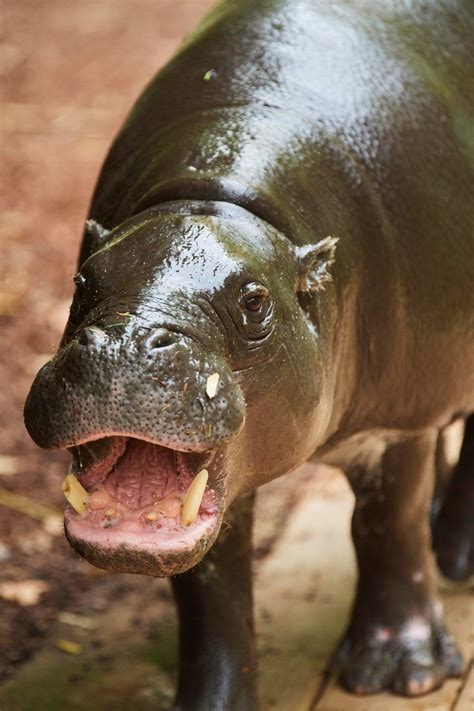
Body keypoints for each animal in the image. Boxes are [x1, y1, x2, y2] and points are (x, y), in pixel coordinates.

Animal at [24, 0, 473, 707]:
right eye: (82, 280)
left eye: (256, 301)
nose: (124, 341)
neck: (221, 201)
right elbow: (211, 594)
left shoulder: (401, 417)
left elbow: (387, 526)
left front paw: (404, 672)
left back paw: (455, 558)